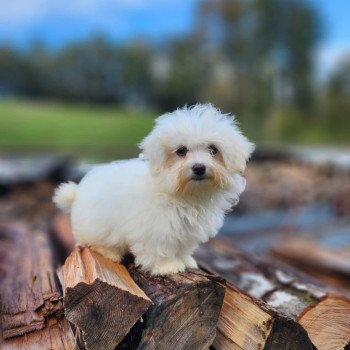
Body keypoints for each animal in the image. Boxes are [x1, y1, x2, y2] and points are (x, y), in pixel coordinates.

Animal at [52, 104, 254, 276]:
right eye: (181, 151)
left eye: (213, 149)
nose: (199, 167)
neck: (185, 194)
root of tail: (77, 193)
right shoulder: (156, 229)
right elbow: (159, 248)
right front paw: (168, 267)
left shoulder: (186, 231)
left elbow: (183, 247)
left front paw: (185, 260)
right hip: (96, 226)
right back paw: (110, 252)